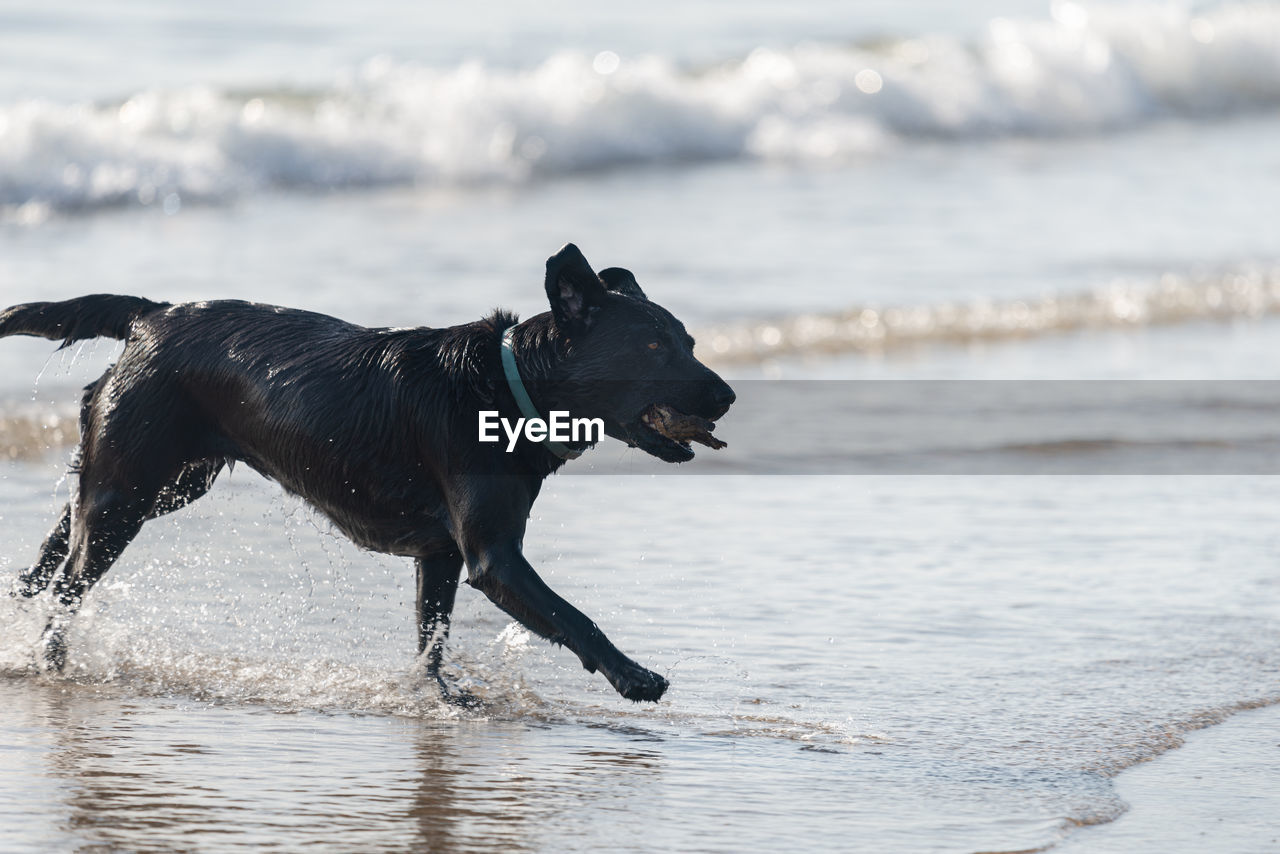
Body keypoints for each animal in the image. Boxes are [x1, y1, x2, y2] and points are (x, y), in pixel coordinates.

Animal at [2, 245, 732, 701]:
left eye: (690, 342)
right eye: (654, 347)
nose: (727, 396)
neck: (507, 384)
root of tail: (153, 314)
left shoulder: (441, 555)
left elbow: (431, 637)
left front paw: (437, 699)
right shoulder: (493, 558)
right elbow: (575, 618)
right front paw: (635, 678)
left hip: (162, 483)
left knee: (62, 539)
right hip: (132, 489)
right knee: (71, 582)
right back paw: (52, 660)